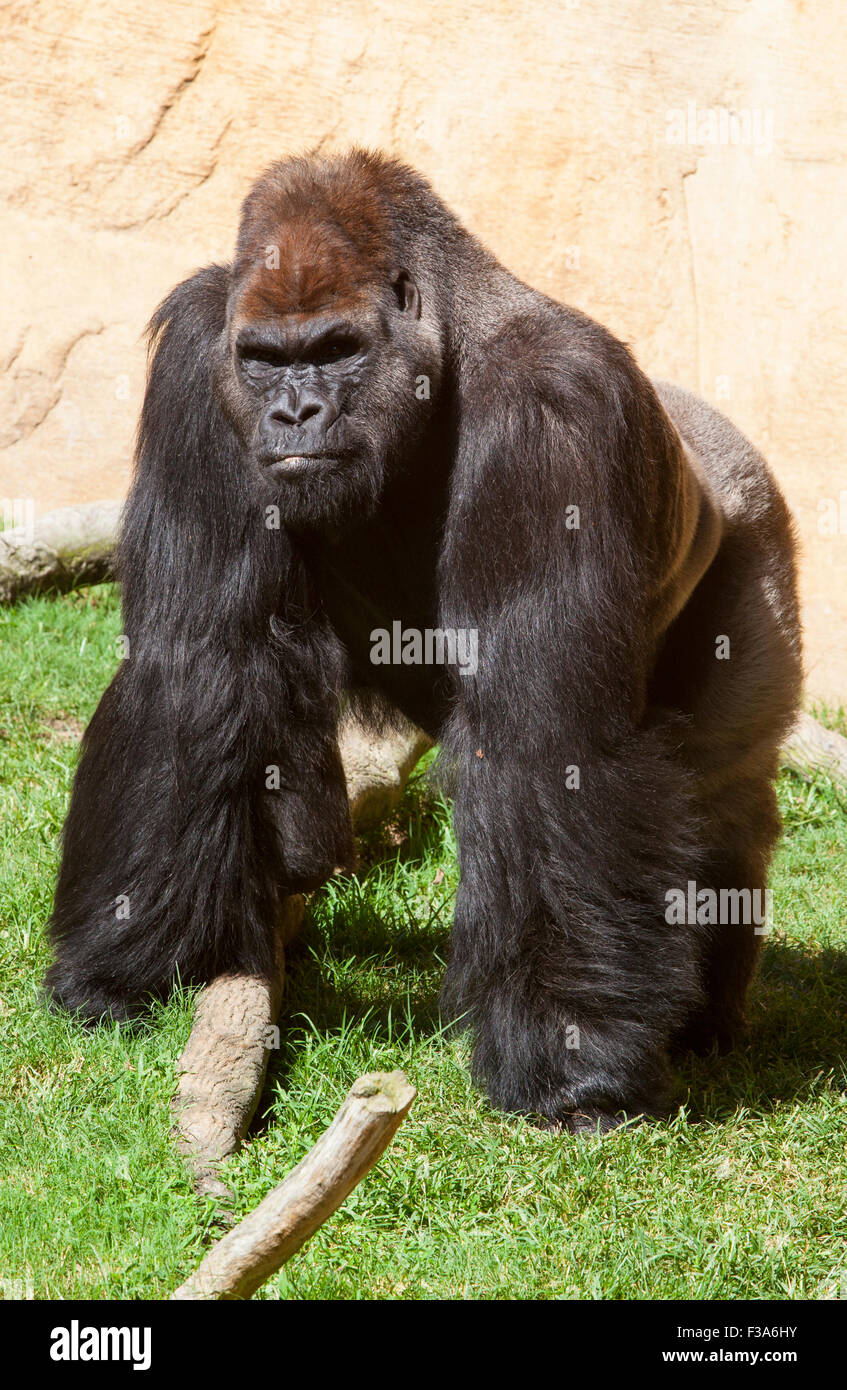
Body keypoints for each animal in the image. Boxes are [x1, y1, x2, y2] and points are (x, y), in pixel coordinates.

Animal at [44, 149, 801, 1128]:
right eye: (262, 361)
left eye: (336, 350)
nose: (293, 415)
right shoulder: (196, 358)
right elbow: (197, 658)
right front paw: (125, 965)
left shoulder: (555, 405)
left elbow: (548, 739)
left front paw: (573, 1062)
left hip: (759, 532)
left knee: (721, 790)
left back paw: (707, 1011)